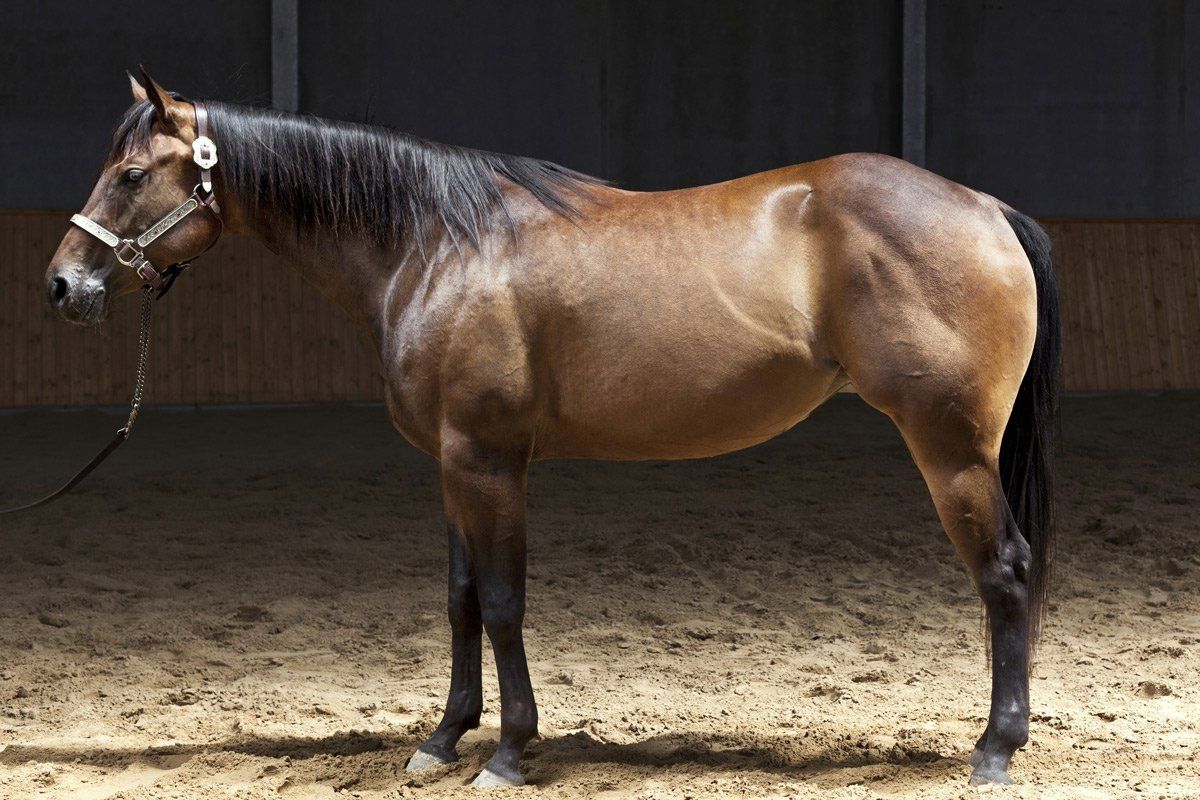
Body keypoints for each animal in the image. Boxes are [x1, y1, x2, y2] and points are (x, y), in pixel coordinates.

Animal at [45, 70, 1060, 789]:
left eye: (131, 174)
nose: (62, 284)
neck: (437, 245)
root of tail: (987, 208)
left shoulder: (490, 462)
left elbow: (502, 602)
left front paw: (506, 753)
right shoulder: (450, 464)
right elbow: (460, 600)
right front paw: (443, 739)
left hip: (951, 448)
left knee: (1005, 573)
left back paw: (994, 751)